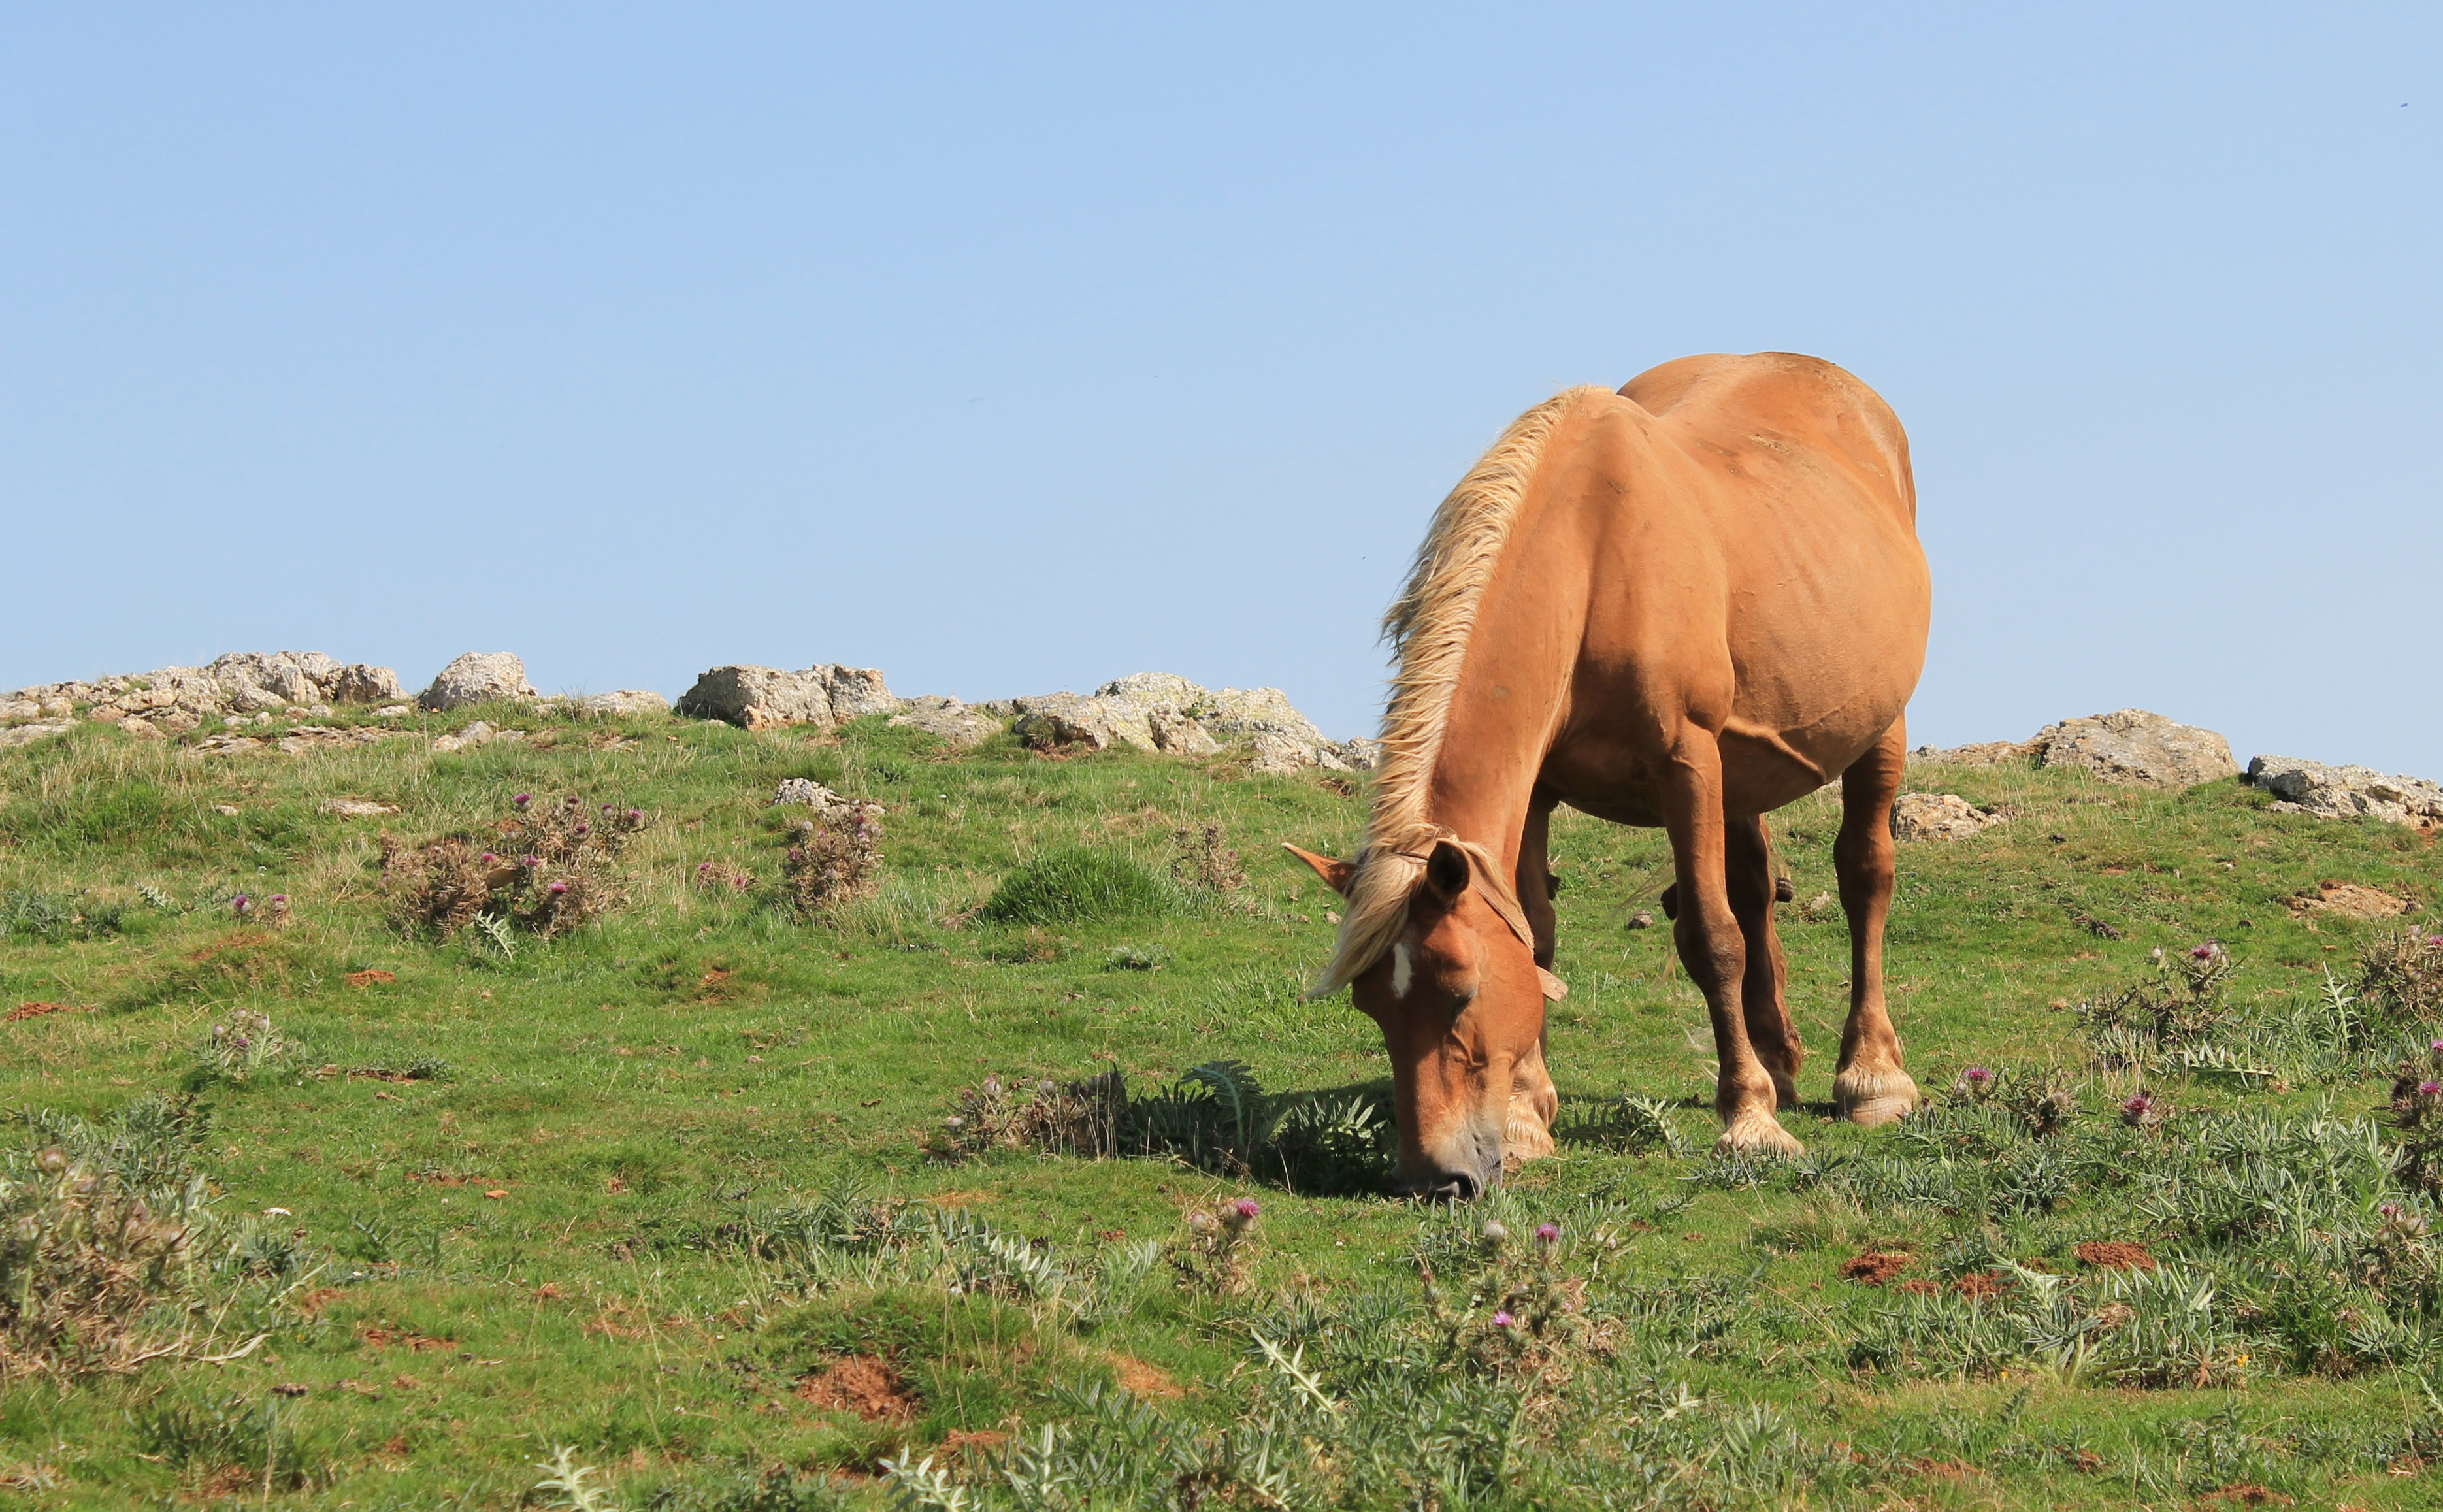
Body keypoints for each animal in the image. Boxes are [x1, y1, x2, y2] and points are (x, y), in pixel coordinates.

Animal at [1290, 352, 1935, 1196]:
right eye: (1371, 1007)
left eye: (1460, 992)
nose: (1435, 1178)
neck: (1593, 563)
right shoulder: (1540, 787)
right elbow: (1537, 937)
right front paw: (1526, 1121)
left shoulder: (1686, 761)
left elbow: (1711, 937)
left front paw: (1750, 1121)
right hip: (1743, 766)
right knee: (1756, 887)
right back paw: (1779, 1059)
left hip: (1875, 729)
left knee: (1863, 879)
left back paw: (1870, 1076)